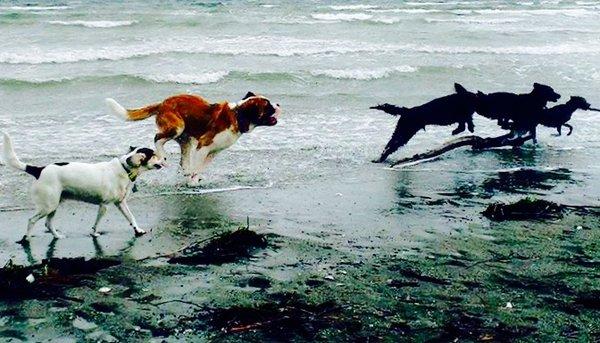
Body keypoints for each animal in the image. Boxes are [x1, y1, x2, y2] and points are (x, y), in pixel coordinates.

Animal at [1, 133, 164, 243]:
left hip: (53, 205)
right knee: (32, 220)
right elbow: (97, 223)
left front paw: (138, 230)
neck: (124, 168)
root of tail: (39, 169)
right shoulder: (104, 205)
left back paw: (57, 236)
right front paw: (94, 233)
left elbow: (131, 217)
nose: (166, 158)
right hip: (48, 205)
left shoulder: (121, 203)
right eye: (154, 155)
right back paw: (27, 239)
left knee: (48, 223)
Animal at [106, 92, 282, 185]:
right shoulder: (203, 146)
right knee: (157, 138)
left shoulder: (213, 152)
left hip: (186, 140)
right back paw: (163, 157)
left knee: (183, 161)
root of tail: (162, 103)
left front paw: (194, 179)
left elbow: (200, 168)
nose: (278, 104)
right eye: (268, 107)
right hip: (177, 126)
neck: (238, 116)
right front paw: (192, 182)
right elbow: (197, 167)